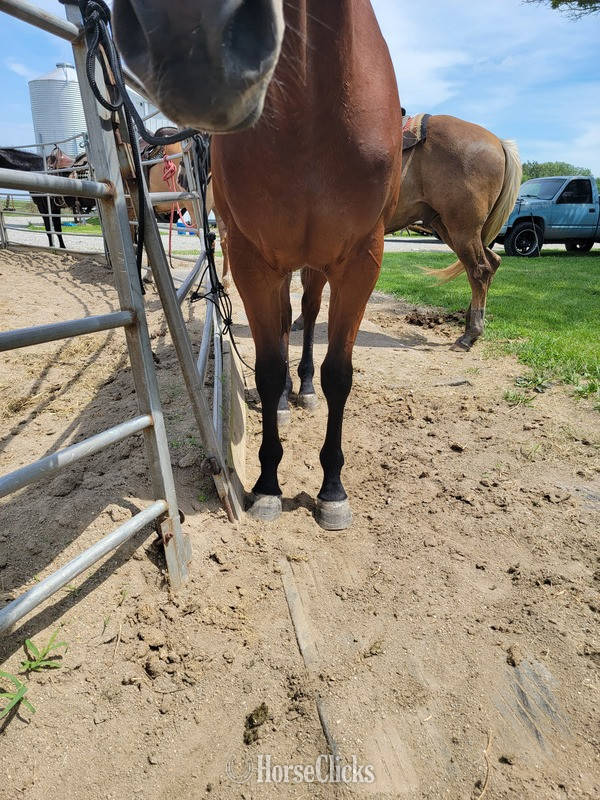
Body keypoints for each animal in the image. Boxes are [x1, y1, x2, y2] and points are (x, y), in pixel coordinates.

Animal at [113, 1, 403, 531]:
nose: (182, 36)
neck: (308, 114)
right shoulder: (252, 259)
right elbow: (268, 370)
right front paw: (268, 484)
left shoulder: (360, 260)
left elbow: (339, 374)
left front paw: (332, 489)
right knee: (288, 323)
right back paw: (289, 396)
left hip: (316, 266)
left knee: (307, 315)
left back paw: (303, 387)